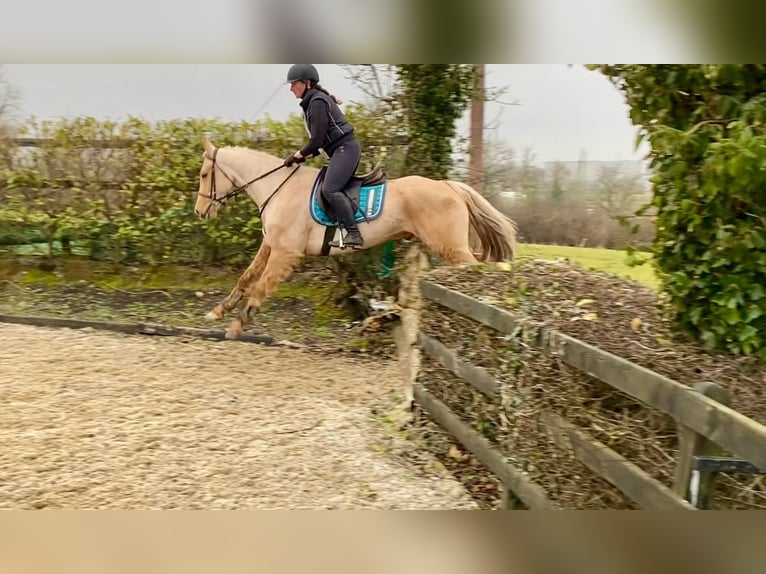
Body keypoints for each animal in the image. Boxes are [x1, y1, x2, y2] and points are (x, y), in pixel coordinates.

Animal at [194, 138, 516, 342]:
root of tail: (449, 186)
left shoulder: (286, 253)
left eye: (205, 174)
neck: (278, 188)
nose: (200, 211)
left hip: (451, 247)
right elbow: (246, 278)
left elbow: (260, 288)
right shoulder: (271, 244)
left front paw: (236, 327)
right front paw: (217, 312)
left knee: (472, 267)